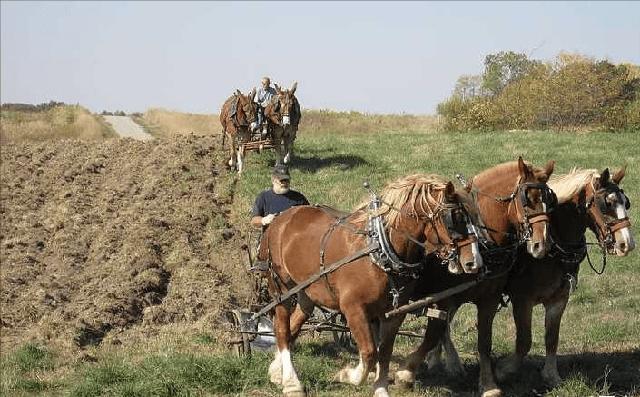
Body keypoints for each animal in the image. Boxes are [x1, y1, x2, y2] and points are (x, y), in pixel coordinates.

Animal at [258, 175, 482, 396]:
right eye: (456, 218)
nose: (475, 262)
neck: (380, 250)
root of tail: (281, 218)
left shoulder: (394, 313)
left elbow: (384, 352)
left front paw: (380, 388)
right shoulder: (354, 309)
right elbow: (369, 353)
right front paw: (347, 375)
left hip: (307, 290)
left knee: (295, 323)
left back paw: (276, 371)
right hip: (281, 288)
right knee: (282, 329)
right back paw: (291, 382)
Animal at [396, 156, 556, 396]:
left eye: (550, 200)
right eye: (528, 200)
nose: (541, 245)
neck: (483, 240)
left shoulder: (488, 298)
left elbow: (484, 342)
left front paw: (488, 384)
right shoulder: (442, 298)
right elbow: (433, 333)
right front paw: (406, 373)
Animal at [492, 166, 632, 386]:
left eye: (626, 203)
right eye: (606, 204)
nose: (627, 244)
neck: (553, 248)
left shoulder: (558, 298)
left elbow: (552, 337)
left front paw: (551, 375)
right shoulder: (521, 298)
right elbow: (524, 340)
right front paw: (505, 369)